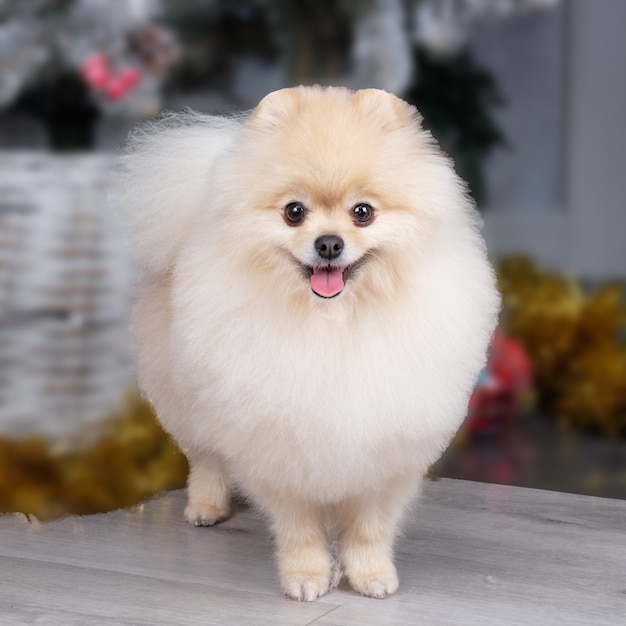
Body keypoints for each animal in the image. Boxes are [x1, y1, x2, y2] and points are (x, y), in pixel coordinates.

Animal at [116, 86, 498, 600]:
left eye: (363, 212)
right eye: (294, 212)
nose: (329, 244)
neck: (332, 323)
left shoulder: (385, 448)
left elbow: (369, 527)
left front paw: (372, 576)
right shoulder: (279, 444)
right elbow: (299, 528)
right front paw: (306, 576)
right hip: (191, 398)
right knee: (207, 457)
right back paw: (206, 507)